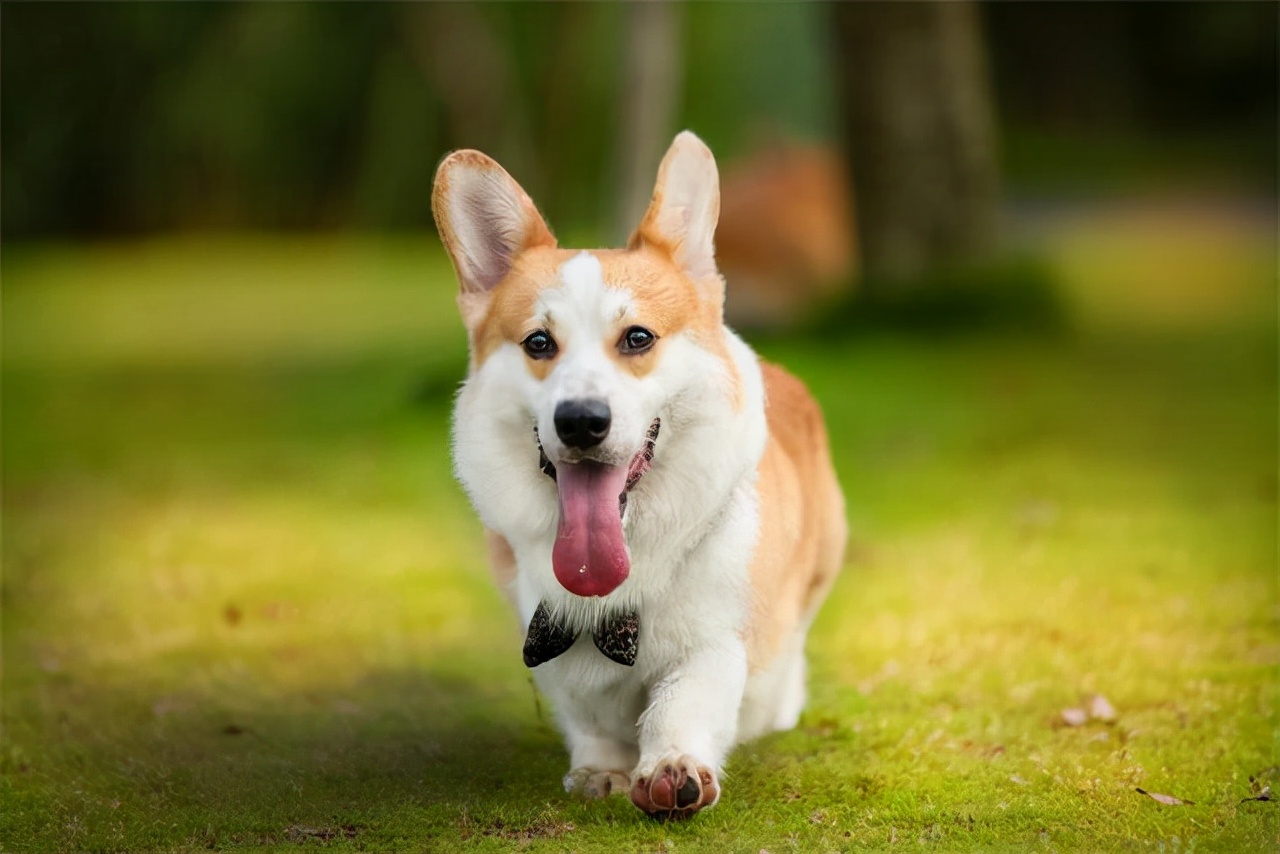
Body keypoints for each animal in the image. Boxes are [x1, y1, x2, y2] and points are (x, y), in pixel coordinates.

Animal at [432, 130, 849, 819]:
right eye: (539, 343)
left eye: (637, 338)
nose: (580, 421)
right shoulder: (548, 638)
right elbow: (587, 713)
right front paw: (601, 770)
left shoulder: (715, 641)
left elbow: (683, 701)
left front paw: (672, 767)